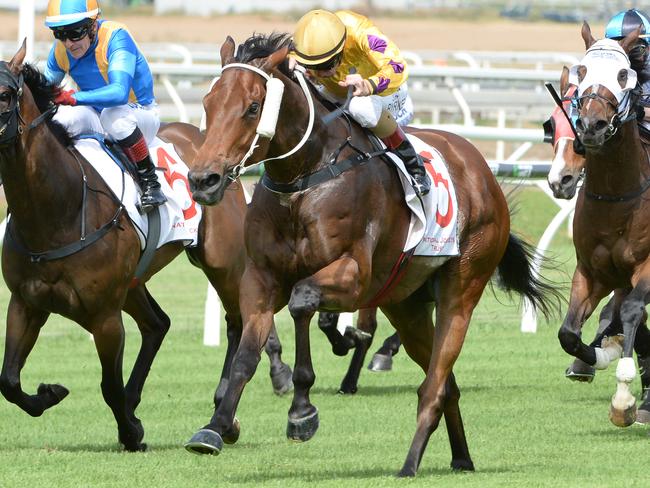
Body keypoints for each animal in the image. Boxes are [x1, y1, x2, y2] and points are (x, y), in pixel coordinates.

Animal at [0, 43, 288, 452]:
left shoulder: (105, 316)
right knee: (158, 324)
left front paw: (131, 432)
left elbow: (108, 385)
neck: (59, 210)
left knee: (237, 322)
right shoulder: (26, 302)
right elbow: (9, 380)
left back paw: (224, 414)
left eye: (5, 95)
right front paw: (51, 394)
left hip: (223, 262)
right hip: (135, 281)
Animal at [184, 34, 556, 476]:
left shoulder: (353, 274)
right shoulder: (261, 278)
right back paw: (461, 457)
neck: (305, 181)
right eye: (208, 102)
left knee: (435, 382)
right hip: (406, 305)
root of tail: (480, 169)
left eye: (253, 107)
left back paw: (410, 464)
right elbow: (246, 354)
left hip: (461, 289)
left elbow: (302, 302)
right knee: (446, 383)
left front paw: (302, 411)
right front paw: (216, 426)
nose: (203, 180)